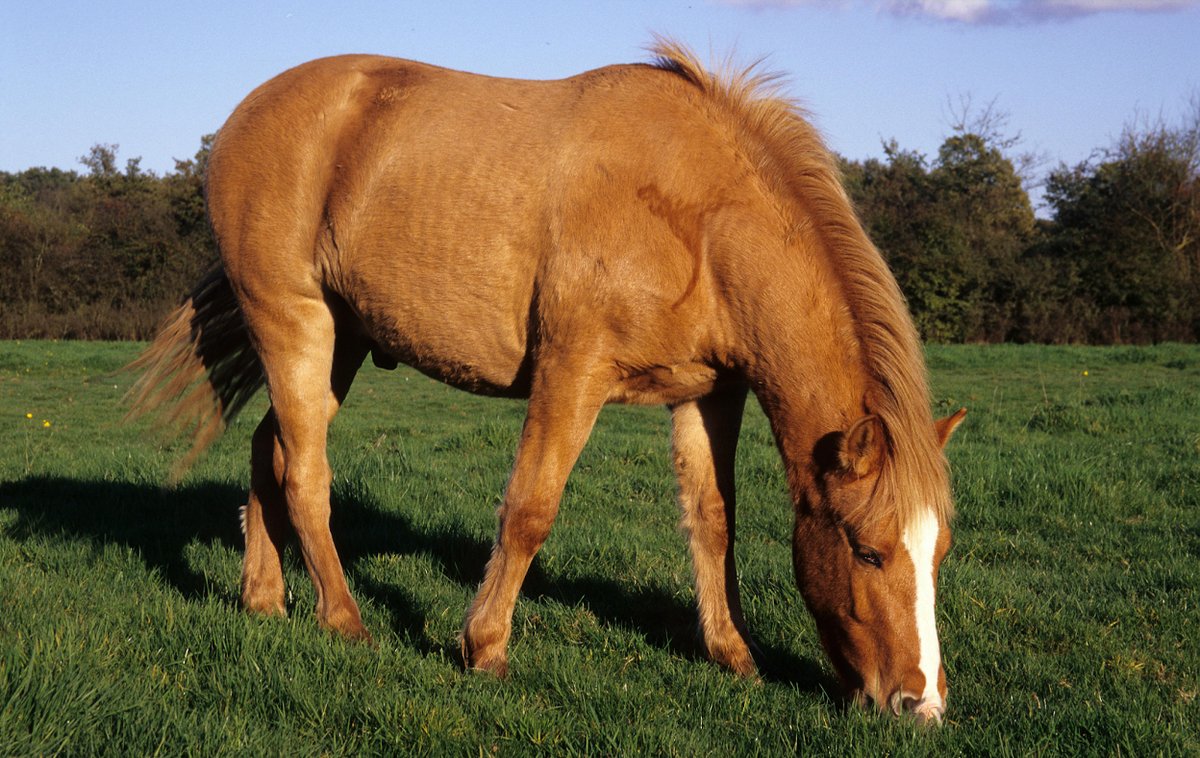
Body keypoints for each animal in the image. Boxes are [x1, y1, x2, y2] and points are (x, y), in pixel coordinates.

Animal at [126, 40, 967, 723]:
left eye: (939, 553)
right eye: (867, 552)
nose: (920, 705)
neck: (696, 215)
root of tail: (248, 114)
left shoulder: (709, 393)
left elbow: (713, 520)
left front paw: (734, 656)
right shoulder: (573, 371)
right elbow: (531, 509)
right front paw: (484, 646)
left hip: (341, 342)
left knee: (271, 450)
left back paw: (264, 600)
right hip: (294, 323)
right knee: (306, 474)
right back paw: (345, 621)